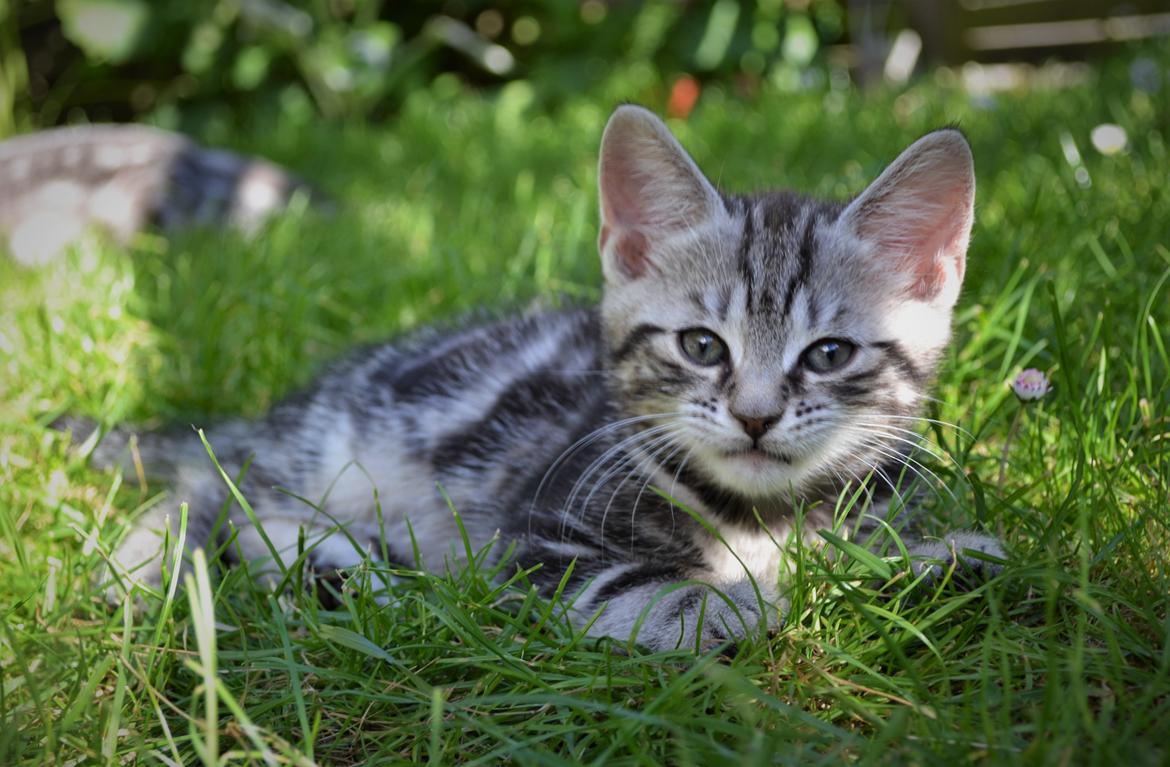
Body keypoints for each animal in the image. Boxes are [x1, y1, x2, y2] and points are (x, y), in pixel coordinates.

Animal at [82, 104, 1001, 650]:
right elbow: (654, 592)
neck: (759, 516)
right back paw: (164, 566)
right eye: (703, 346)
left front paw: (936, 559)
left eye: (828, 354)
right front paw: (751, 604)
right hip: (331, 448)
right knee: (214, 489)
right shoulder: (539, 541)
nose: (754, 415)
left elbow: (892, 552)